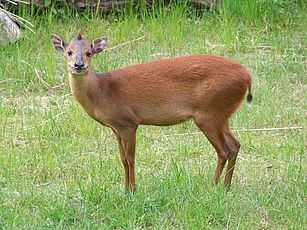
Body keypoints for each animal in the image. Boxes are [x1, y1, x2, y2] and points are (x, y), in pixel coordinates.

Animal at [50, 32, 253, 192]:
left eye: (89, 52)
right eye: (69, 52)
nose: (78, 65)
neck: (101, 91)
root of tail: (247, 76)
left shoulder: (128, 123)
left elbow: (130, 158)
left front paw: (132, 190)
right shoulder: (116, 127)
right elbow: (122, 159)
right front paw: (125, 190)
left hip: (208, 113)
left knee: (224, 150)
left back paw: (212, 186)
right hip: (222, 114)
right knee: (234, 145)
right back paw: (226, 186)